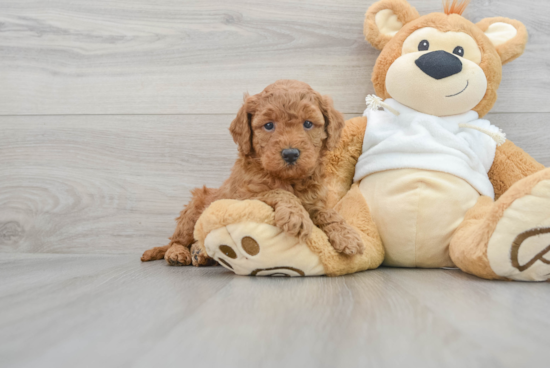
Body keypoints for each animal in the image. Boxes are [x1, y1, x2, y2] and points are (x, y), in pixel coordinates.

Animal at [142, 79, 366, 266]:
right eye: (268, 125)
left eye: (308, 124)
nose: (290, 154)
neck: (288, 179)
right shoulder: (244, 197)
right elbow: (278, 192)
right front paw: (295, 216)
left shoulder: (315, 201)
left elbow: (329, 213)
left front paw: (347, 235)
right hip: (193, 210)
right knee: (177, 239)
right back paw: (179, 253)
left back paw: (201, 254)